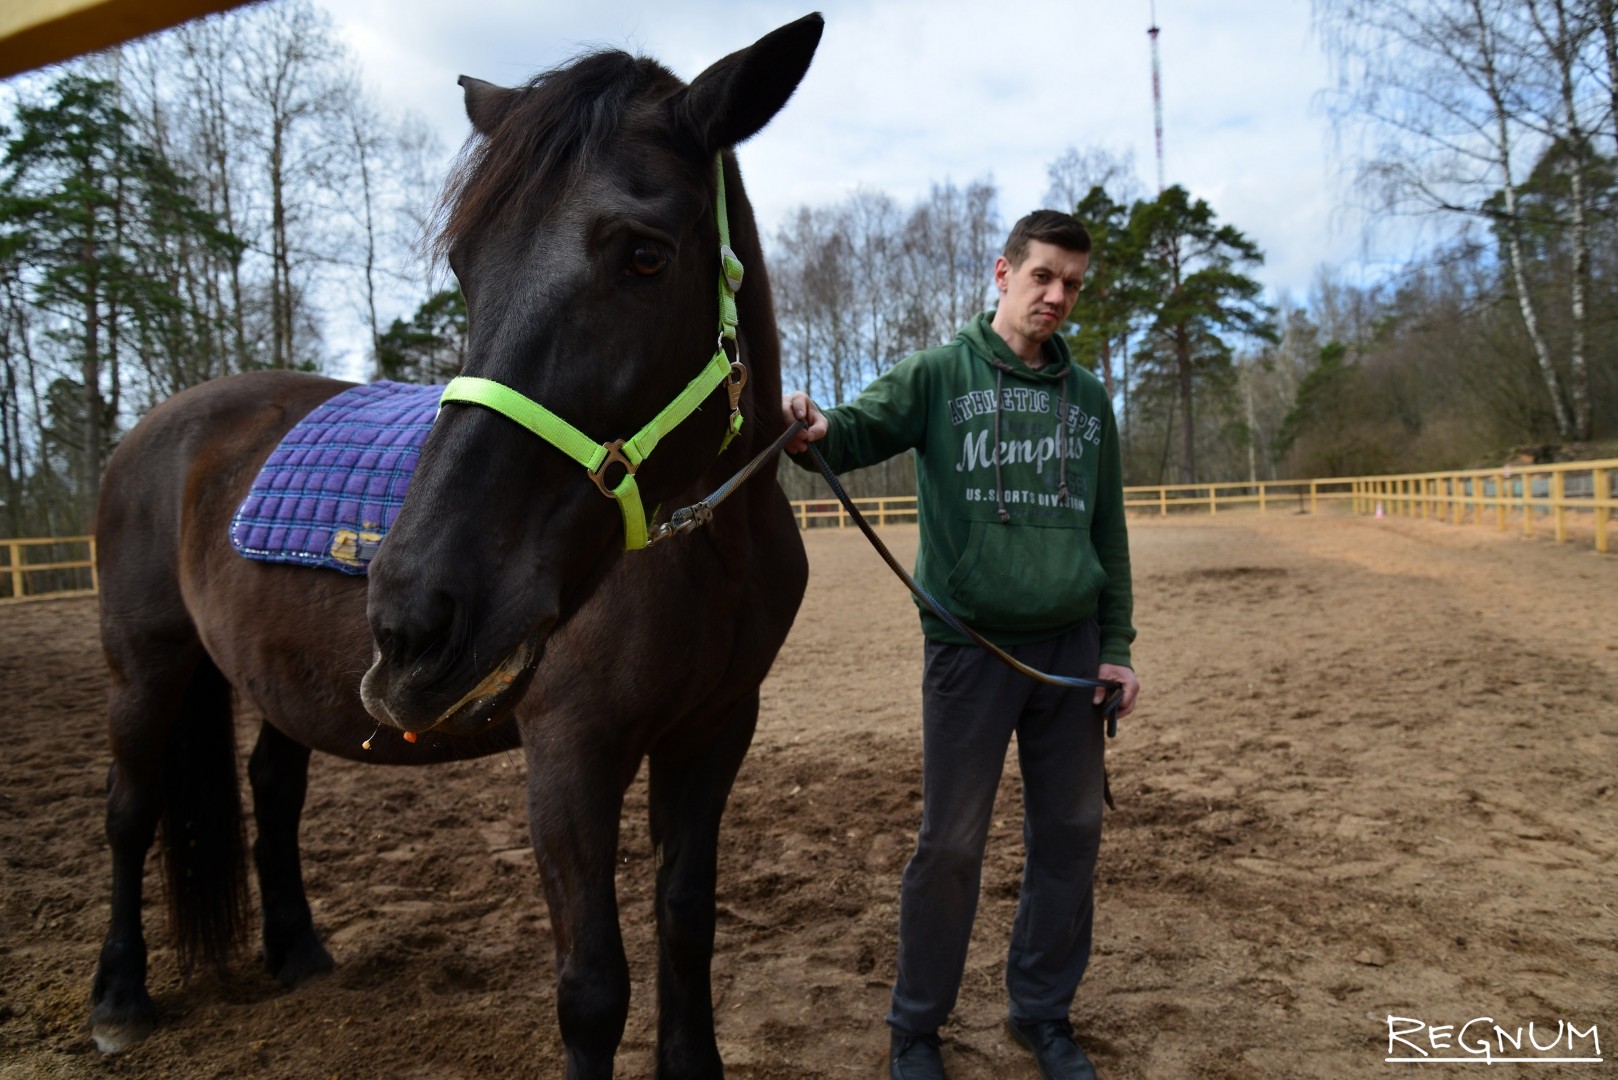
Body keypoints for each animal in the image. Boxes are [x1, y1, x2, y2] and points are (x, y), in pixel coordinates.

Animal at [90, 14, 821, 1075]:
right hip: (146, 669)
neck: (704, 556)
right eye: (466, 267)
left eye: (645, 256)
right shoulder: (568, 754)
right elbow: (593, 989)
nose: (413, 617)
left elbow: (687, 923)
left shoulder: (715, 729)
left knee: (273, 787)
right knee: (129, 811)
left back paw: (298, 951)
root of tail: (152, 429)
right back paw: (118, 997)